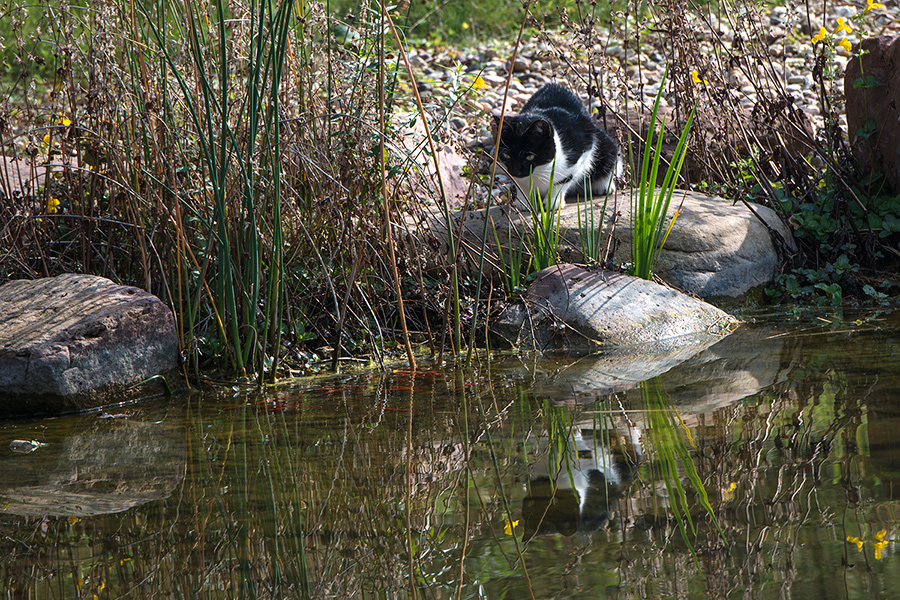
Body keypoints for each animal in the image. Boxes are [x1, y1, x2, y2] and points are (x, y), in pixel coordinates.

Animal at [492, 84, 620, 211]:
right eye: (507, 155)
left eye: (529, 156)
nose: (515, 171)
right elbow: (521, 184)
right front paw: (523, 201)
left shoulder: (584, 146)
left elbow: (563, 180)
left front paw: (552, 202)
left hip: (605, 144)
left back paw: (605, 186)